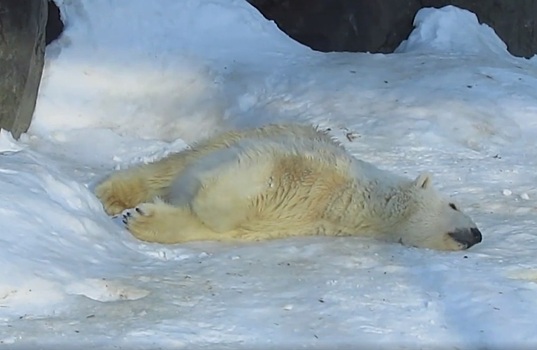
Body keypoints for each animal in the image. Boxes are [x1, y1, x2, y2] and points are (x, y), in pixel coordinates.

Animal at [94, 123, 484, 249]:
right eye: (454, 205)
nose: (477, 235)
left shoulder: (295, 222)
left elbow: (212, 228)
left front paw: (145, 219)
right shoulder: (303, 166)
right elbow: (252, 178)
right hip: (240, 137)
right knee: (172, 166)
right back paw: (110, 194)